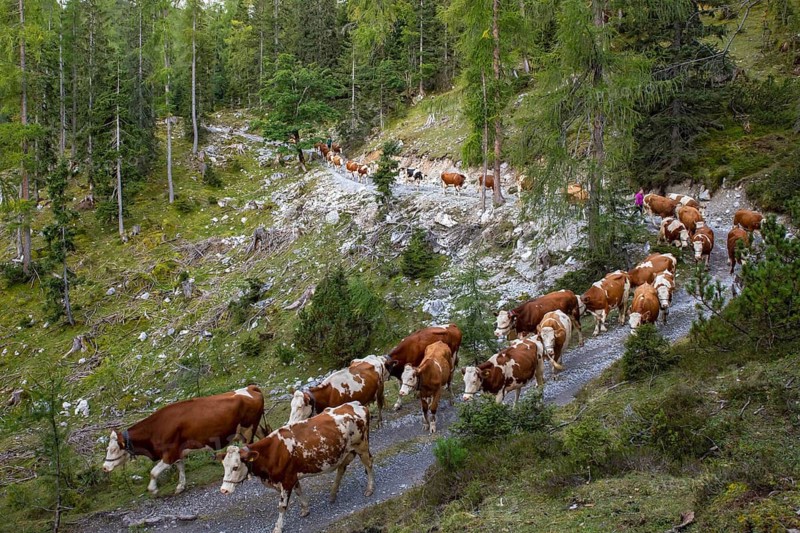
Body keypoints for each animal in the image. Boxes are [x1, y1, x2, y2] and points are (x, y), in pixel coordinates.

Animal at [102, 385, 264, 495]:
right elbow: (180, 467)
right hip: (251, 428)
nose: (104, 467)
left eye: (114, 449)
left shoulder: (169, 453)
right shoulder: (177, 452)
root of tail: (249, 388)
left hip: (248, 430)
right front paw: (180, 486)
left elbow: (154, 472)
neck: (156, 428)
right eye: (107, 448)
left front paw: (153, 489)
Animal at [217, 402, 373, 533]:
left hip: (361, 446)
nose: (224, 490)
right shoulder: (292, 476)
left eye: (236, 467)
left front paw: (278, 527)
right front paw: (305, 510)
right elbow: (299, 492)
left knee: (369, 463)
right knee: (342, 467)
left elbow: (282, 506)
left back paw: (369, 489)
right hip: (347, 451)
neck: (271, 452)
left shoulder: (286, 480)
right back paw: (333, 494)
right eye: (224, 466)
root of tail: (356, 405)